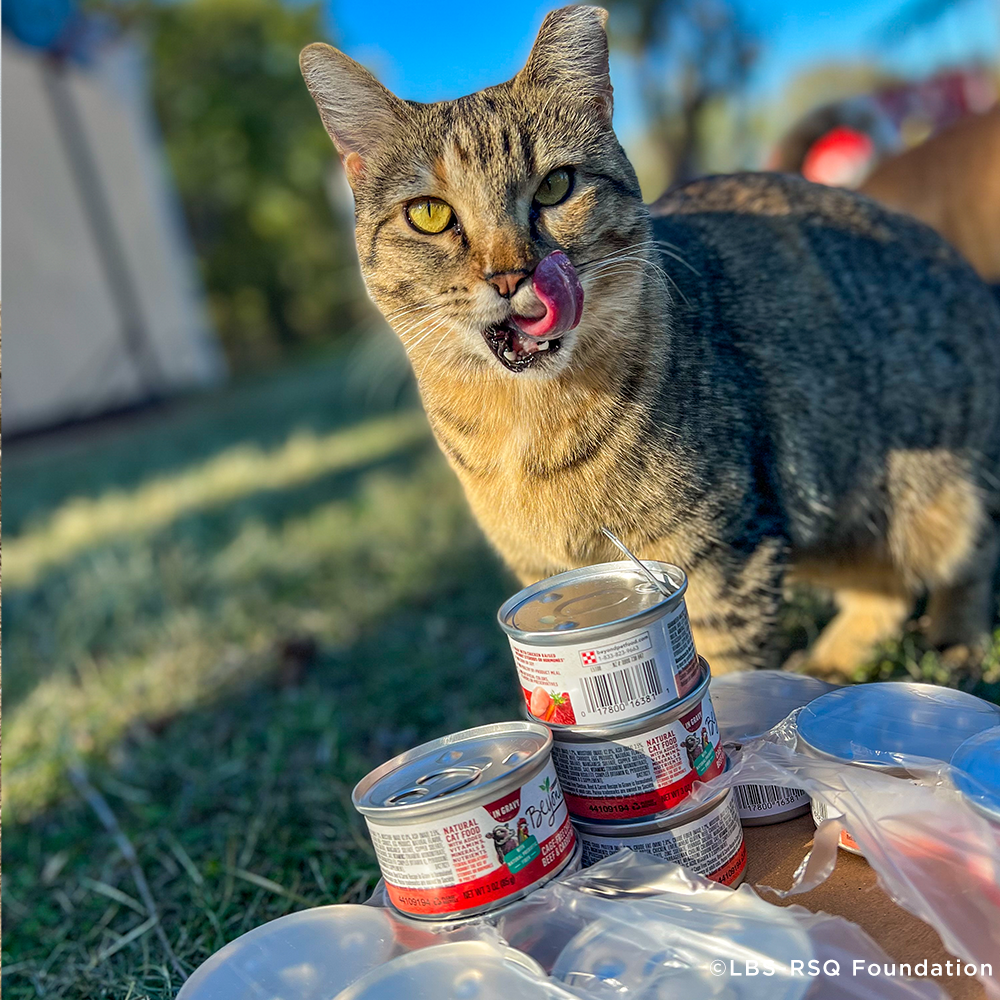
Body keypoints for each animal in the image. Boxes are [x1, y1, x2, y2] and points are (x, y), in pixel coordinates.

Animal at [298, 3, 1000, 676]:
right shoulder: (545, 572)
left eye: (555, 185)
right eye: (430, 214)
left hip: (940, 490)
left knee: (964, 565)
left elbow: (729, 671)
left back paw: (951, 642)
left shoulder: (721, 554)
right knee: (887, 586)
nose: (510, 274)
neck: (526, 431)